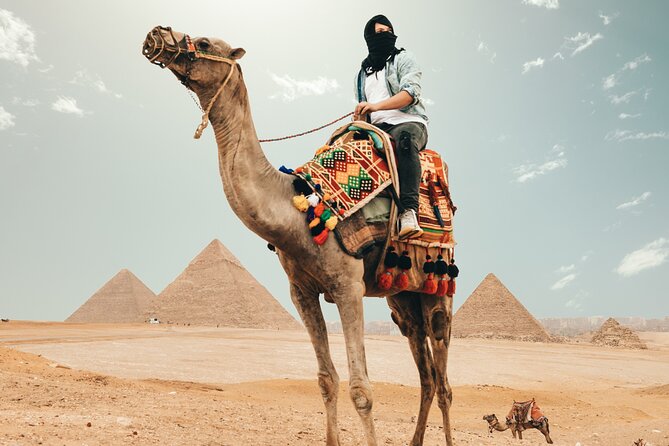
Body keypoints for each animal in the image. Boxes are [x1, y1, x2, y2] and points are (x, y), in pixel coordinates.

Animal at [142, 26, 454, 446]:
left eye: (205, 43)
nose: (157, 34)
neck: (295, 209)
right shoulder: (301, 291)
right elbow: (326, 380)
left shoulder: (348, 286)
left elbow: (361, 389)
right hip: (402, 296)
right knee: (426, 376)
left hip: (438, 289)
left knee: (444, 381)